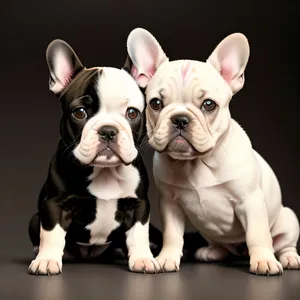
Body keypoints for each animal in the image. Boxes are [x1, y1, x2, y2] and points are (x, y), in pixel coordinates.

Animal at [27, 39, 159, 274]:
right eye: (80, 113)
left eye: (132, 113)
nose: (108, 130)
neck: (104, 171)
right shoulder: (55, 204)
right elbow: (51, 235)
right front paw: (47, 259)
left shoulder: (139, 205)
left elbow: (138, 234)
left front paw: (143, 258)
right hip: (35, 219)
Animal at [125, 28, 300, 276]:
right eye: (155, 103)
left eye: (209, 105)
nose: (180, 119)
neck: (198, 162)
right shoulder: (170, 204)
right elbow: (172, 235)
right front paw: (167, 257)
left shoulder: (251, 201)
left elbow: (257, 234)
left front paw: (264, 260)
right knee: (222, 246)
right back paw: (211, 252)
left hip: (288, 219)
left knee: (284, 244)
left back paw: (288, 258)